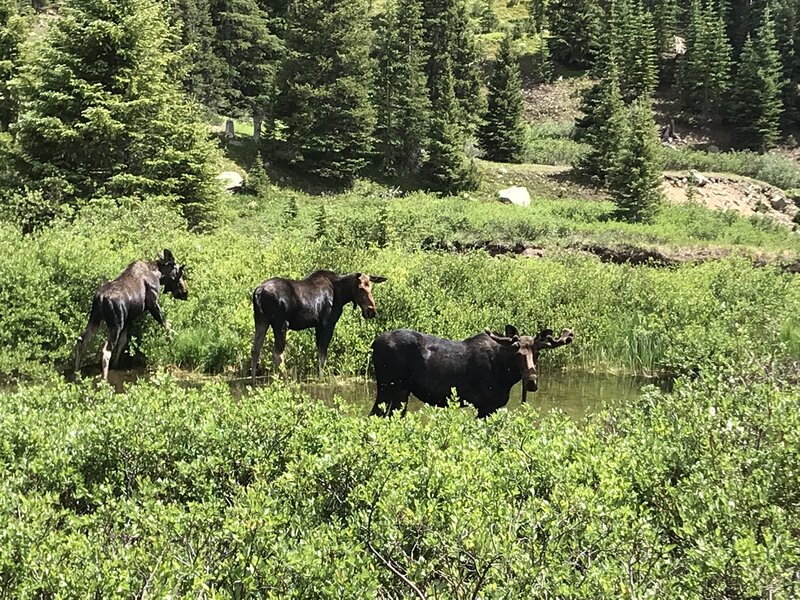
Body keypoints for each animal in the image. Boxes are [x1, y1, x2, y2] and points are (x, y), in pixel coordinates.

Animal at [73, 248, 189, 380]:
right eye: (179, 273)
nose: (185, 292)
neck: (158, 275)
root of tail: (101, 298)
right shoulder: (153, 304)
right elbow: (166, 324)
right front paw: (172, 340)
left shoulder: (128, 319)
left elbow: (123, 341)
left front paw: (116, 365)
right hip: (116, 324)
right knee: (106, 351)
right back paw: (104, 379)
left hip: (95, 319)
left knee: (81, 340)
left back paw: (76, 373)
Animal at [252, 270, 386, 382]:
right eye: (360, 288)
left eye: (370, 287)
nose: (371, 311)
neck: (342, 295)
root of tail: (258, 292)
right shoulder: (327, 323)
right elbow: (323, 353)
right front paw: (322, 377)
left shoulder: (317, 325)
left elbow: (319, 351)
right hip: (280, 324)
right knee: (277, 353)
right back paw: (285, 381)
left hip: (261, 321)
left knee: (255, 350)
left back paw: (253, 382)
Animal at [368, 324, 576, 418]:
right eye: (516, 353)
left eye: (538, 352)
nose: (532, 381)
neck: (506, 375)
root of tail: (374, 344)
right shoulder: (485, 405)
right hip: (387, 387)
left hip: (402, 392)